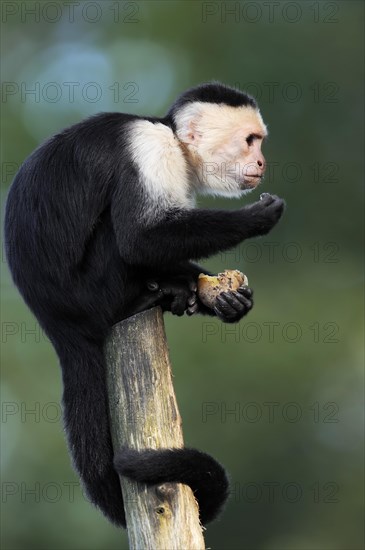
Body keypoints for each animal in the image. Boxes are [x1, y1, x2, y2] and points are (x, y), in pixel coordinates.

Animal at [4, 83, 286, 532]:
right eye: (250, 140)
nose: (261, 161)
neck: (172, 138)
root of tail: (58, 322)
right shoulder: (151, 150)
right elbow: (141, 240)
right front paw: (254, 219)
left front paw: (223, 298)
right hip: (93, 293)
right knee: (122, 237)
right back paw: (146, 296)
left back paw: (178, 291)